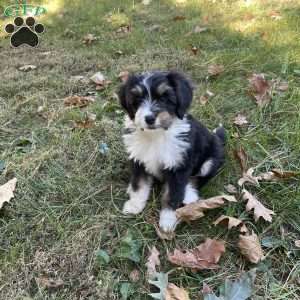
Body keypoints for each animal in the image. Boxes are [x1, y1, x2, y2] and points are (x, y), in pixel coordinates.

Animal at [117, 70, 225, 232]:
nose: (149, 118)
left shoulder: (178, 167)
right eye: (138, 99)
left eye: (164, 98)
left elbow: (172, 195)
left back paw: (190, 195)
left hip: (211, 159)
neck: (156, 135)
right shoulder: (138, 160)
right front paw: (134, 205)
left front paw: (168, 220)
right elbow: (139, 185)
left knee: (200, 178)